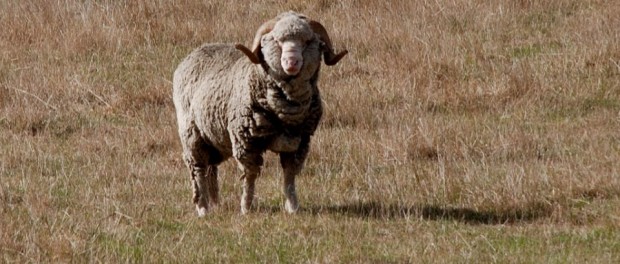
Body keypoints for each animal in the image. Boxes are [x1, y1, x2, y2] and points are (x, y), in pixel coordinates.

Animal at [173, 11, 348, 216]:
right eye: (277, 41)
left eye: (307, 41)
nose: (291, 62)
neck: (285, 110)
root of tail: (195, 52)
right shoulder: (246, 142)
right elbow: (250, 176)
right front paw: (246, 207)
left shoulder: (298, 143)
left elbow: (290, 176)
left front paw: (293, 207)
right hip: (192, 134)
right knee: (198, 169)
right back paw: (203, 208)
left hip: (214, 139)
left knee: (211, 169)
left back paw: (214, 203)